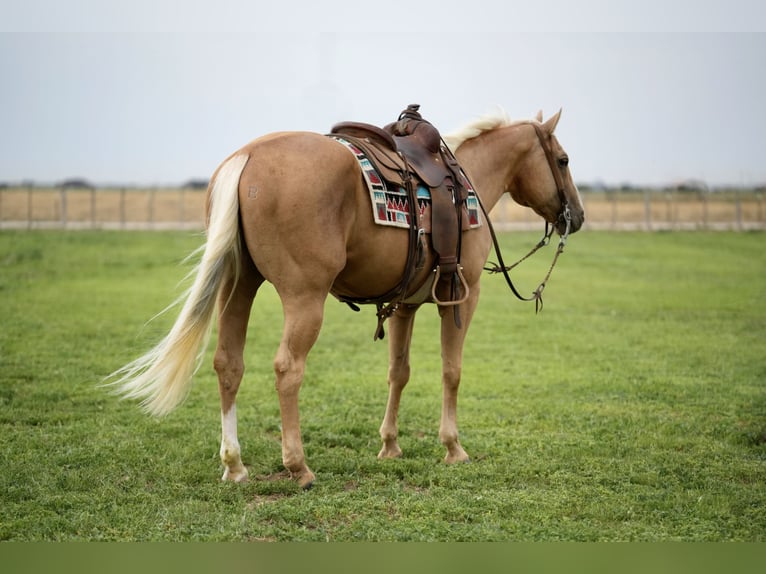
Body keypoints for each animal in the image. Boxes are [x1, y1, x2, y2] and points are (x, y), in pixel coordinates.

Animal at [108, 106, 584, 488]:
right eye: (562, 160)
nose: (576, 217)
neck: (466, 180)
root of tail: (249, 157)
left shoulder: (406, 305)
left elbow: (398, 372)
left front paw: (390, 445)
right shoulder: (462, 296)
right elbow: (452, 371)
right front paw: (453, 447)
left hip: (238, 285)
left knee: (228, 363)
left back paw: (235, 465)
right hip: (304, 298)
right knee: (288, 369)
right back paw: (298, 467)